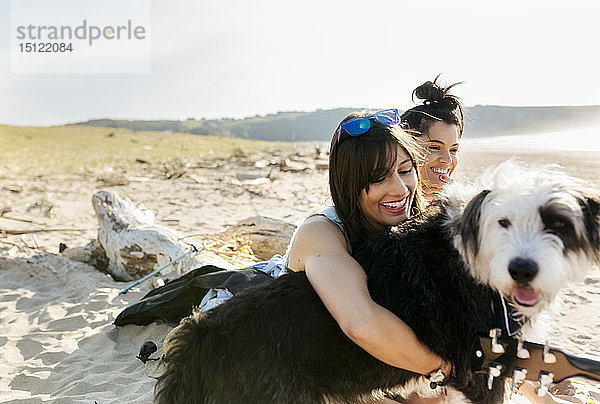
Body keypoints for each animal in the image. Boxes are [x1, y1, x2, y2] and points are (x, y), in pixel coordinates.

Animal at [154, 165, 600, 404]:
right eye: (502, 222)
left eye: (556, 224)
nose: (523, 270)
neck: (471, 259)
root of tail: (198, 337)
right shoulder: (483, 373)